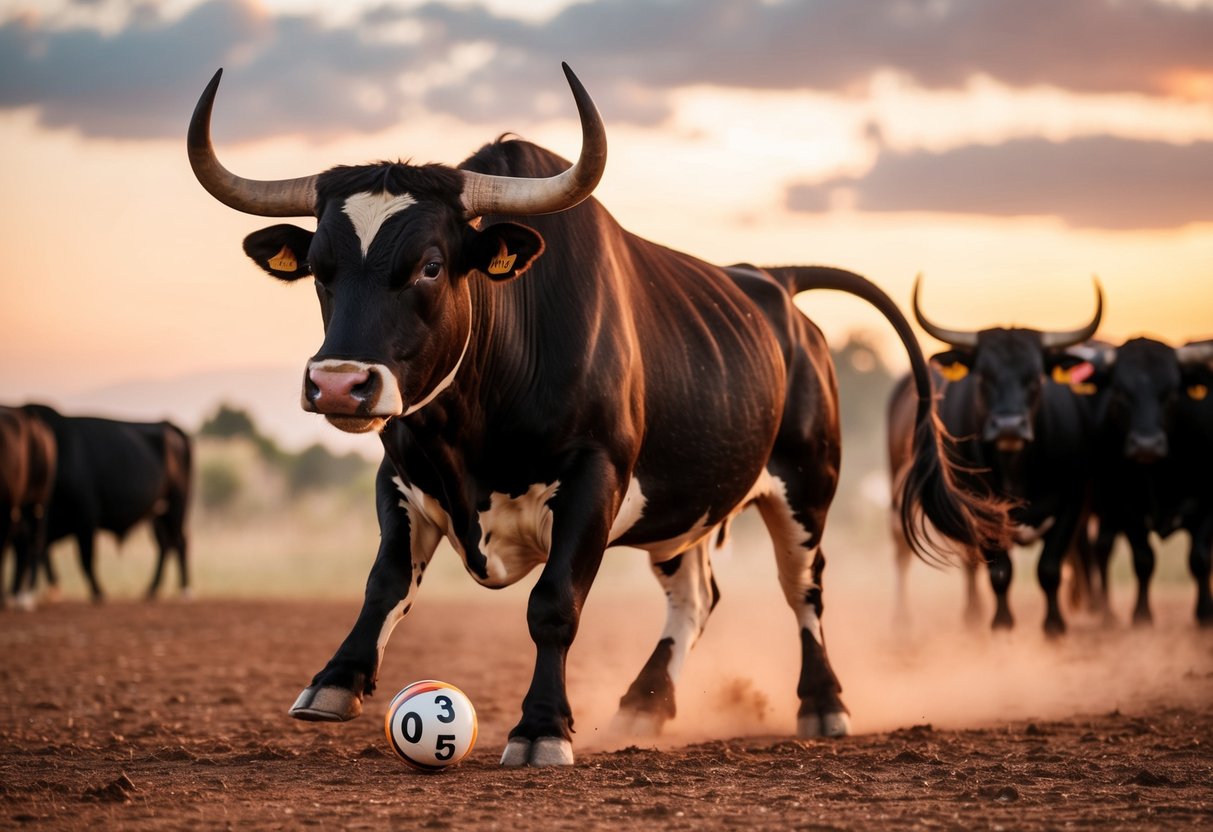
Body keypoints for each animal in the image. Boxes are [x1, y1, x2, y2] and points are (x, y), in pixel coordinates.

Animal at [23, 407, 191, 603]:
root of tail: (169, 425)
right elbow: (45, 552)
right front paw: (52, 589)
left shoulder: (86, 518)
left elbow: (85, 559)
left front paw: (98, 592)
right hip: (159, 514)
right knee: (165, 545)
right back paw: (152, 590)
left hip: (176, 508)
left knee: (179, 543)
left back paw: (184, 591)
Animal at [184, 65, 1009, 771]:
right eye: (320, 270)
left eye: (430, 265)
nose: (338, 385)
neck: (474, 426)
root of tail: (771, 281)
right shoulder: (402, 473)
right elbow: (385, 583)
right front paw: (336, 680)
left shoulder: (595, 476)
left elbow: (553, 605)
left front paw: (541, 728)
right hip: (683, 506)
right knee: (696, 598)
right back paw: (645, 704)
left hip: (806, 486)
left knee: (803, 589)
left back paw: (822, 704)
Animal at [1072, 334, 1213, 630]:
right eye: (1119, 392)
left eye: (1172, 393)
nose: (1146, 445)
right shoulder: (1126, 508)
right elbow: (1144, 559)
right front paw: (1142, 616)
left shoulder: (1208, 503)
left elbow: (1200, 557)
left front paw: (1205, 613)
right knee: (1094, 549)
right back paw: (1101, 610)